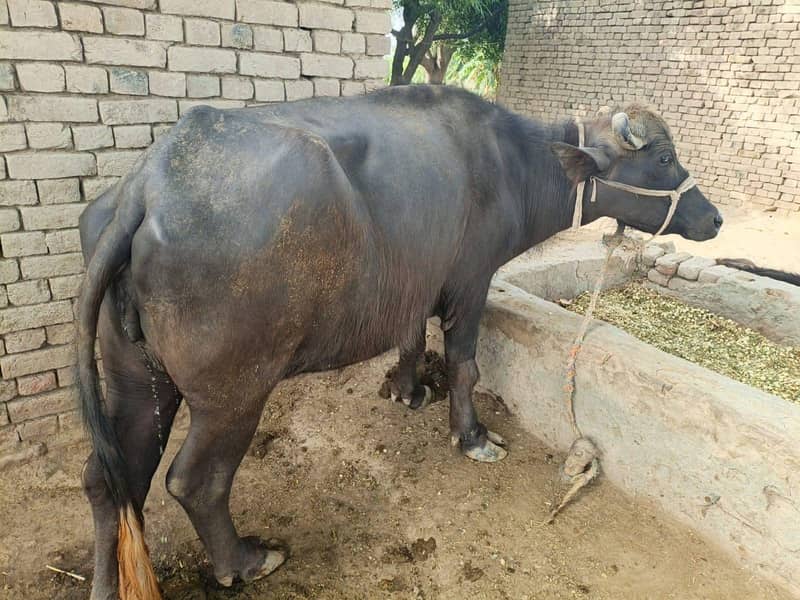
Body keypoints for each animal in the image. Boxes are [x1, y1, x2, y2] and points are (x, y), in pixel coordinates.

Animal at [77, 85, 722, 599]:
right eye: (664, 157)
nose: (714, 219)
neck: (515, 165)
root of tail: (148, 186)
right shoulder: (471, 280)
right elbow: (465, 366)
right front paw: (473, 437)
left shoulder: (416, 284)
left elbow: (410, 340)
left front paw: (407, 391)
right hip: (233, 393)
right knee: (194, 481)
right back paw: (248, 560)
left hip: (137, 378)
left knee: (110, 479)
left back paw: (110, 584)